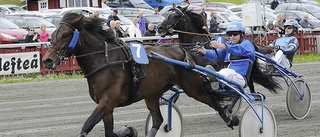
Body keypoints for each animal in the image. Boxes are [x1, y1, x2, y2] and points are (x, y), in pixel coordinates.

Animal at [43, 12, 242, 136]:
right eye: (53, 35)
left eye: (65, 35)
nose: (47, 60)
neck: (103, 61)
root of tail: (182, 50)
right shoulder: (107, 106)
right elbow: (109, 132)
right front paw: (129, 131)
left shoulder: (107, 102)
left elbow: (87, 125)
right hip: (152, 94)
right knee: (158, 120)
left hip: (193, 88)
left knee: (213, 101)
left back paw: (231, 119)